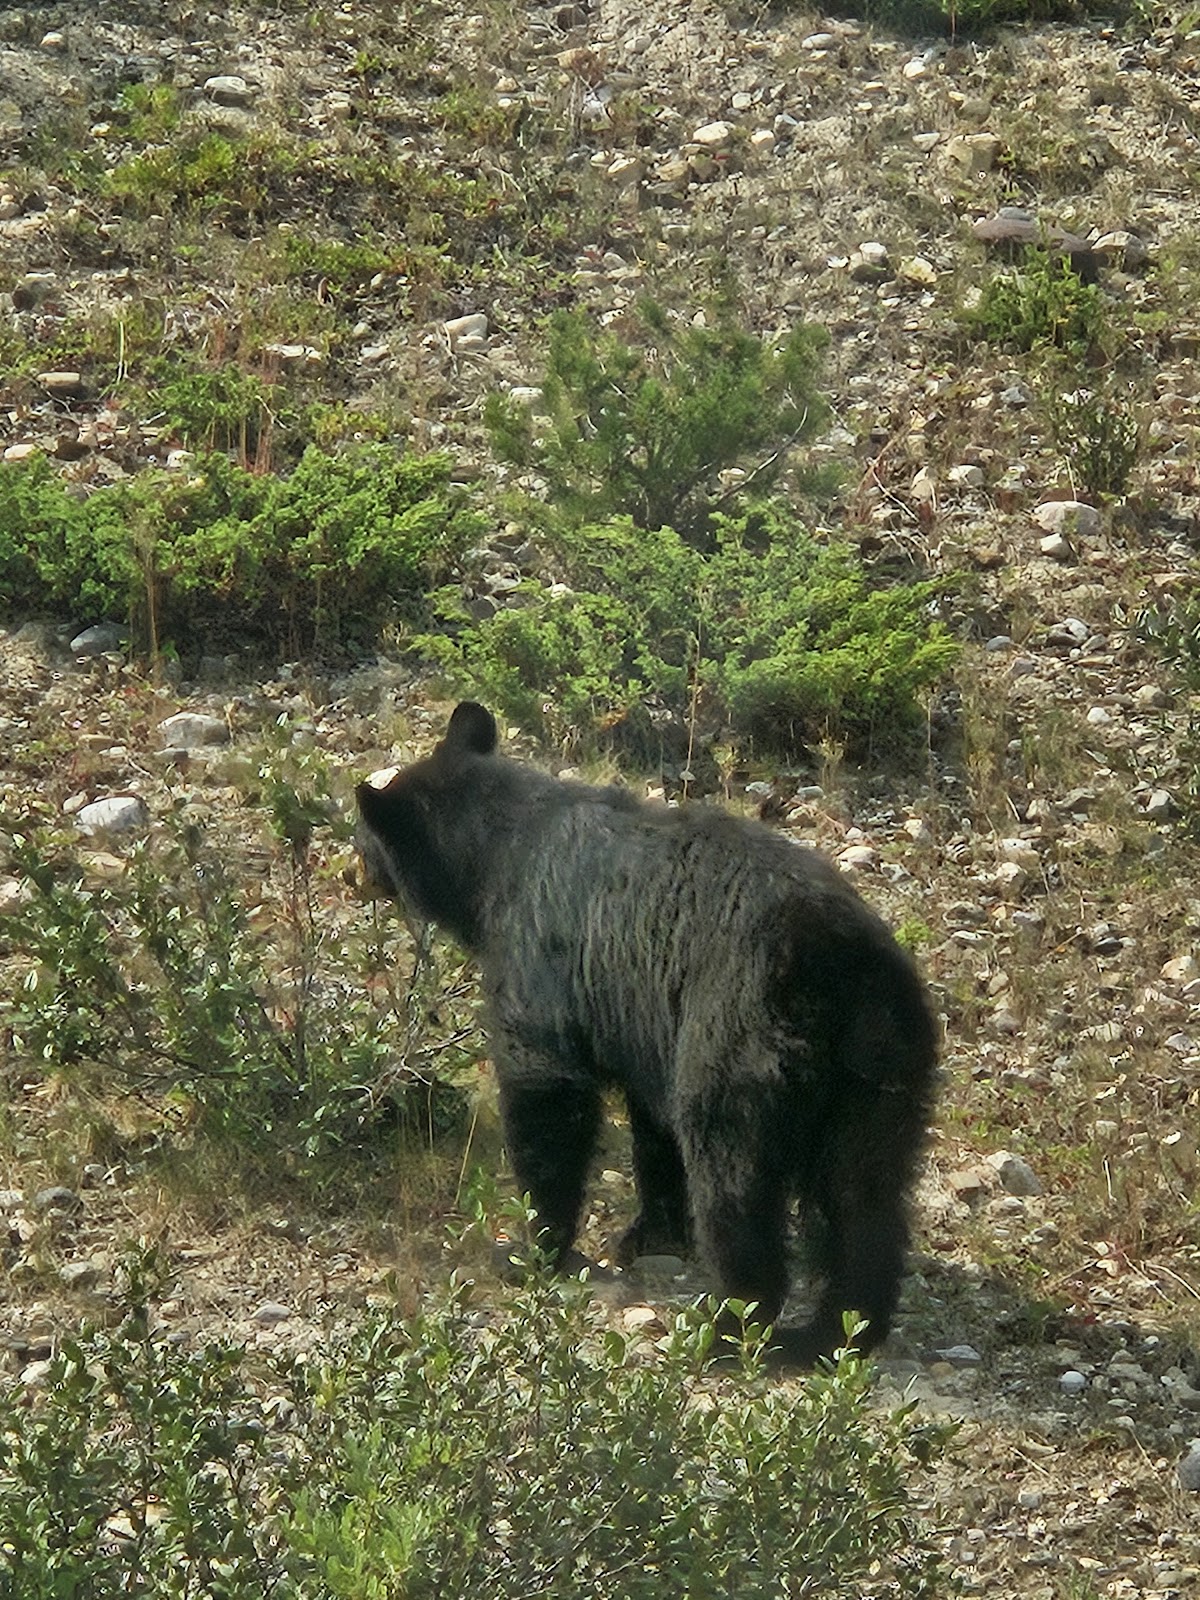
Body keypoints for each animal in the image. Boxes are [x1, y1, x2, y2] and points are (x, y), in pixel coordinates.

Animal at [356, 700, 938, 1364]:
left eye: (366, 837)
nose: (353, 870)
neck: (497, 852)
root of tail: (828, 961)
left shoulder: (537, 954)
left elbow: (546, 1090)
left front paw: (533, 1247)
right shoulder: (647, 1020)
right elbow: (653, 1126)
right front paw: (650, 1232)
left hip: (738, 1043)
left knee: (735, 1179)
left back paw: (731, 1323)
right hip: (881, 1062)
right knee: (865, 1194)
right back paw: (842, 1328)